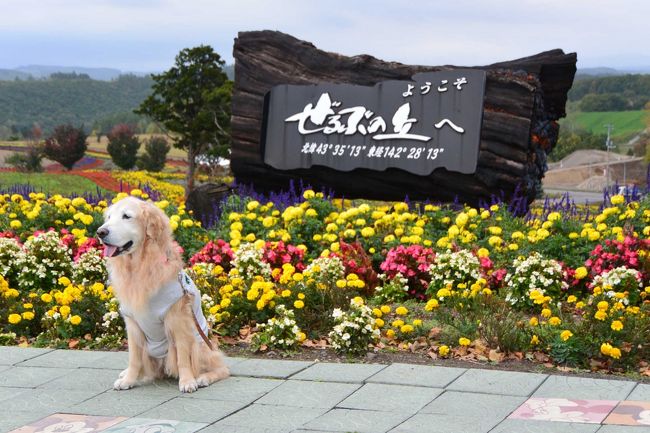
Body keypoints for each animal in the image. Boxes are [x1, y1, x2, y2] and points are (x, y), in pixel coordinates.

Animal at [96, 196, 228, 392]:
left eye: (126, 216)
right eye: (109, 217)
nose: (100, 232)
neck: (139, 266)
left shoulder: (177, 320)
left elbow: (183, 357)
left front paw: (187, 381)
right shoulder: (132, 323)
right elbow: (134, 358)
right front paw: (128, 379)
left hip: (200, 344)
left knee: (221, 367)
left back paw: (203, 378)